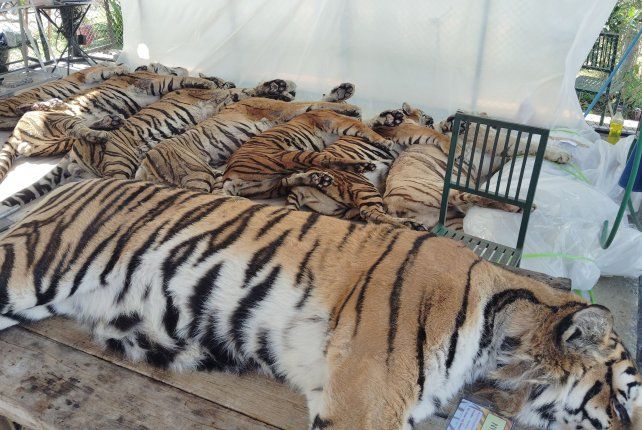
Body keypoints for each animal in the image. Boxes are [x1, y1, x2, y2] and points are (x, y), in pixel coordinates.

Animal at [0, 70, 228, 183]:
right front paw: (208, 83)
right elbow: (182, 78)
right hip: (57, 120)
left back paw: (110, 122)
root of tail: (15, 133)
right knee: (76, 127)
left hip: (56, 141)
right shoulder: (156, 82)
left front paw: (217, 81)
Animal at [135, 83, 361, 192]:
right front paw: (351, 108)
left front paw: (343, 91)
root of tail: (143, 168)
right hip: (197, 175)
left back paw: (317, 178)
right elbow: (314, 103)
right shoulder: (283, 108)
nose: (289, 91)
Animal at [222, 109, 396, 198]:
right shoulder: (339, 121)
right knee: (326, 160)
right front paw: (385, 139)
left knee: (288, 181)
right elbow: (364, 126)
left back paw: (319, 179)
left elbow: (367, 123)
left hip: (267, 187)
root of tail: (227, 175)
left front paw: (389, 119)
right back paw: (362, 165)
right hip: (289, 156)